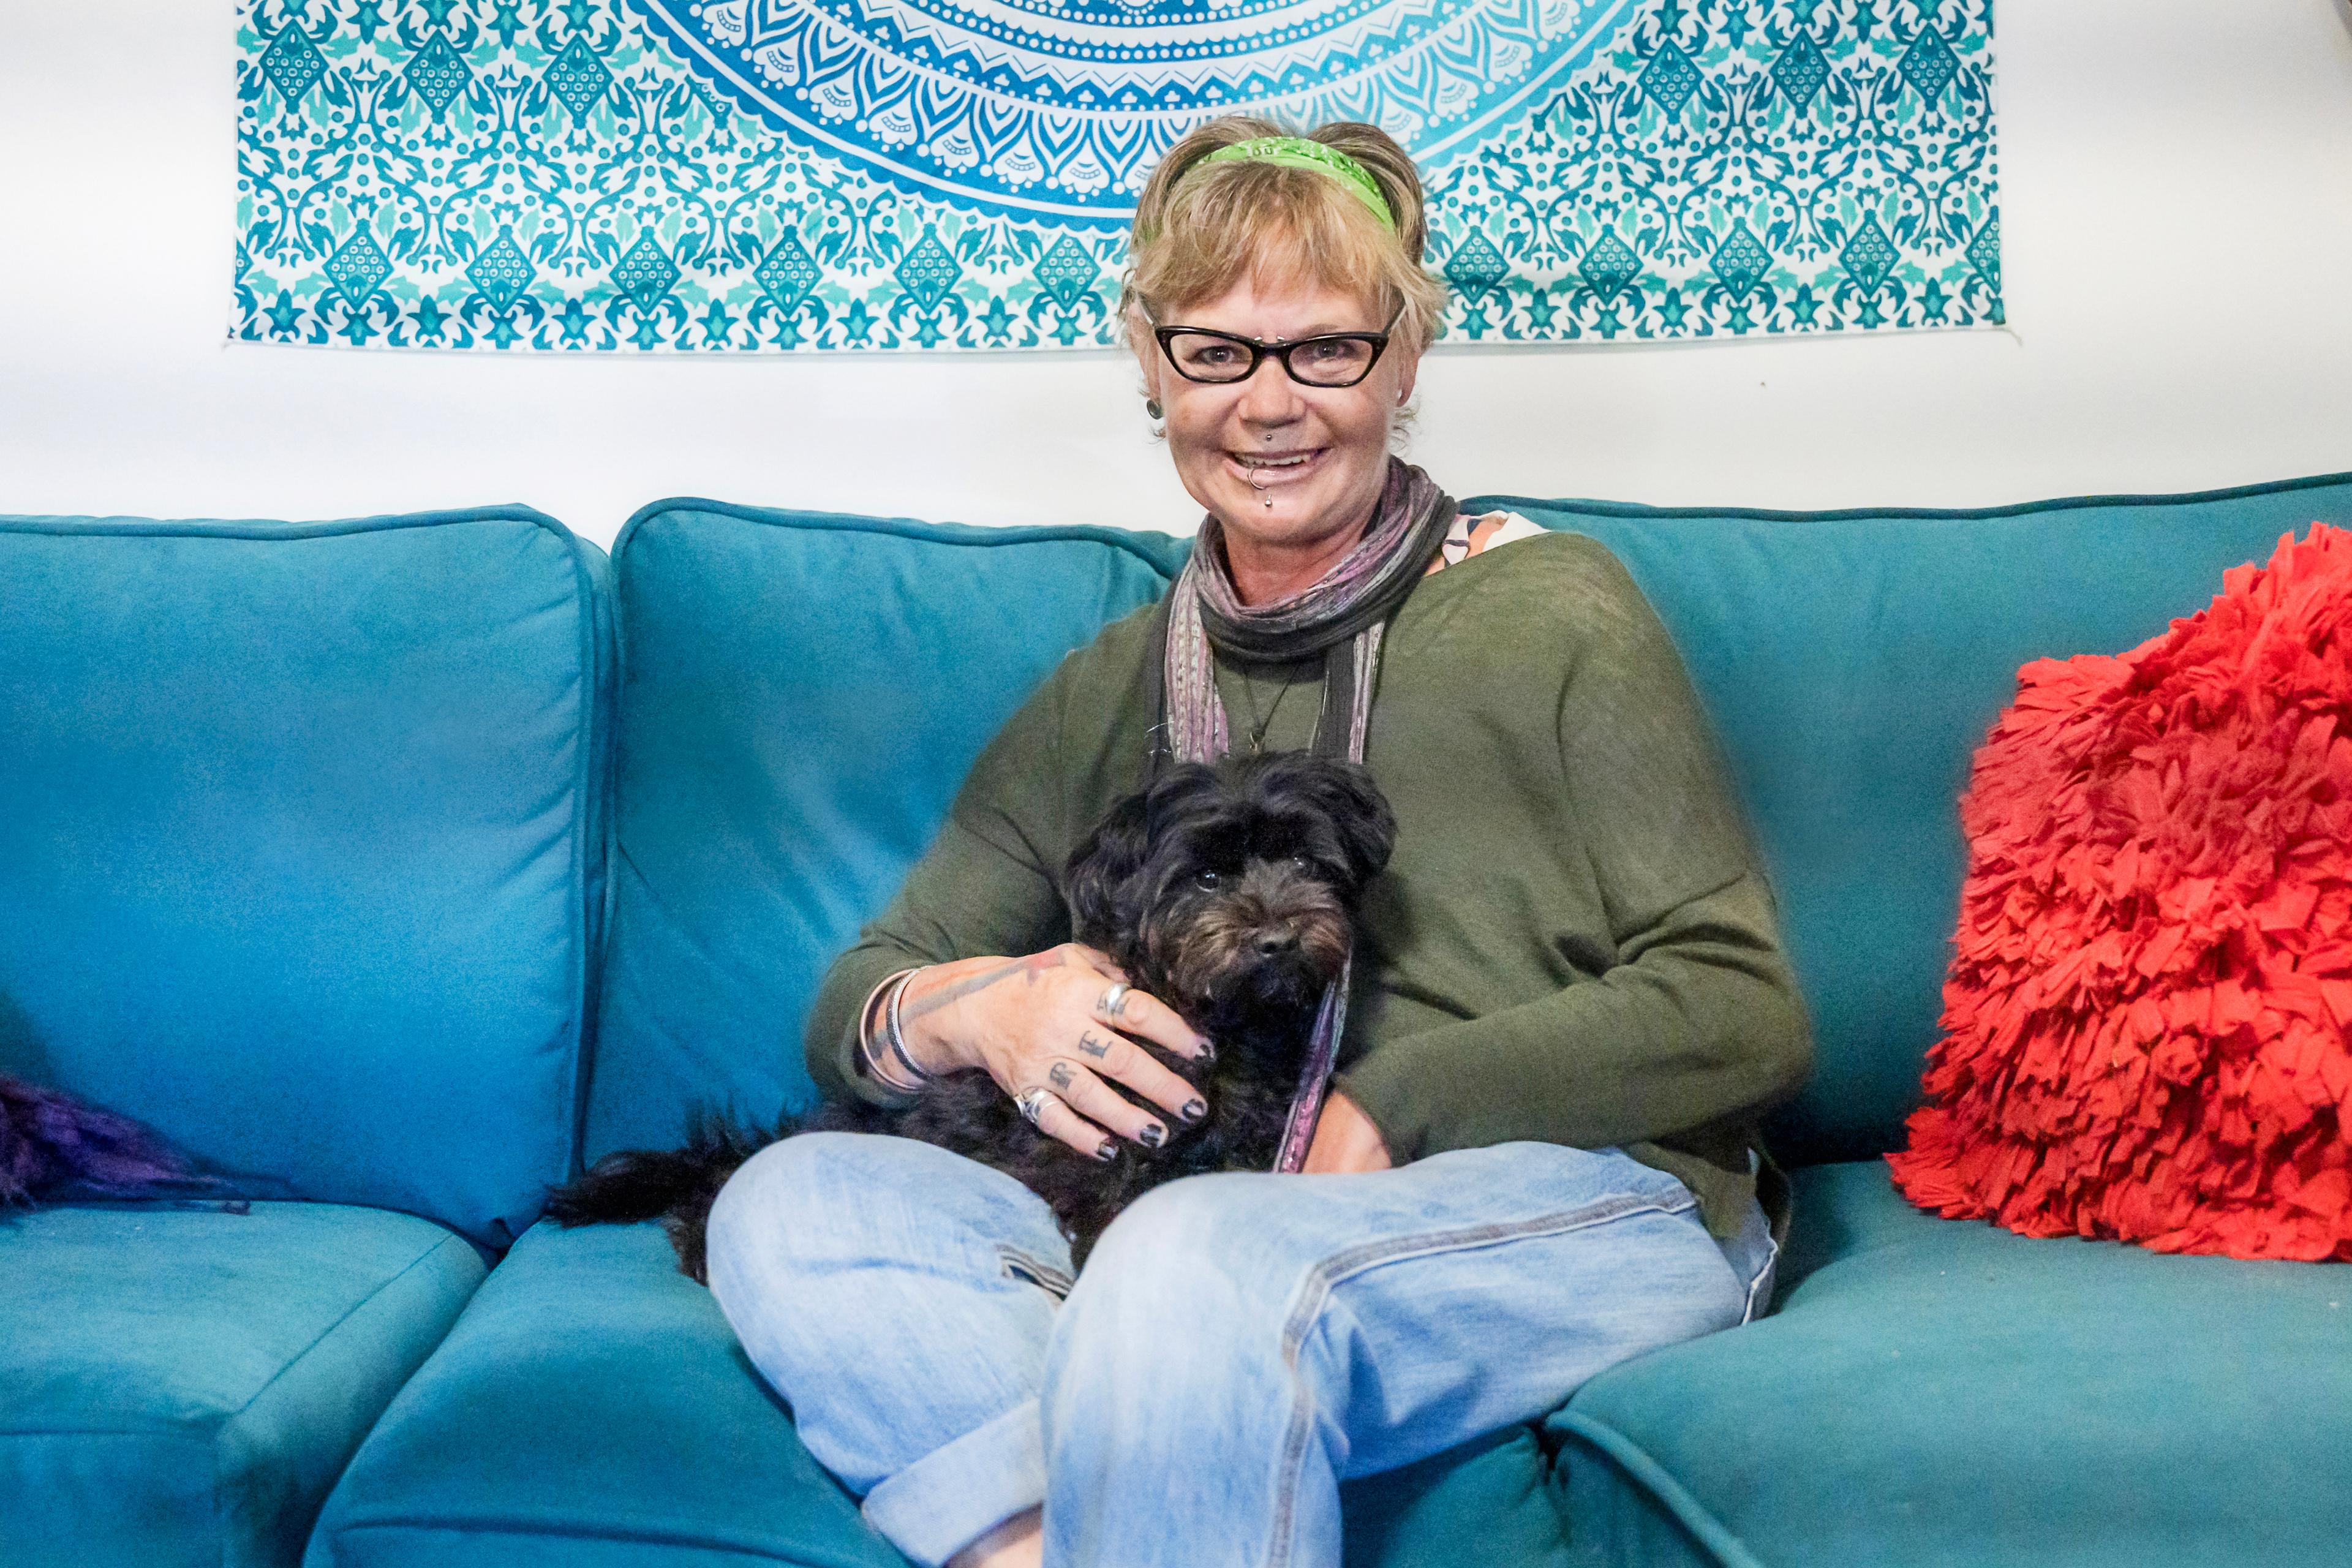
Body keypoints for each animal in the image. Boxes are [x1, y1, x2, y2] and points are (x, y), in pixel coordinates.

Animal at [545, 752, 1392, 1278]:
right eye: (1208, 877)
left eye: (1307, 863)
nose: (1278, 938)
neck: (1226, 1022)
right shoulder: (1098, 1144)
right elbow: (1118, 1196)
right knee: (717, 1186)